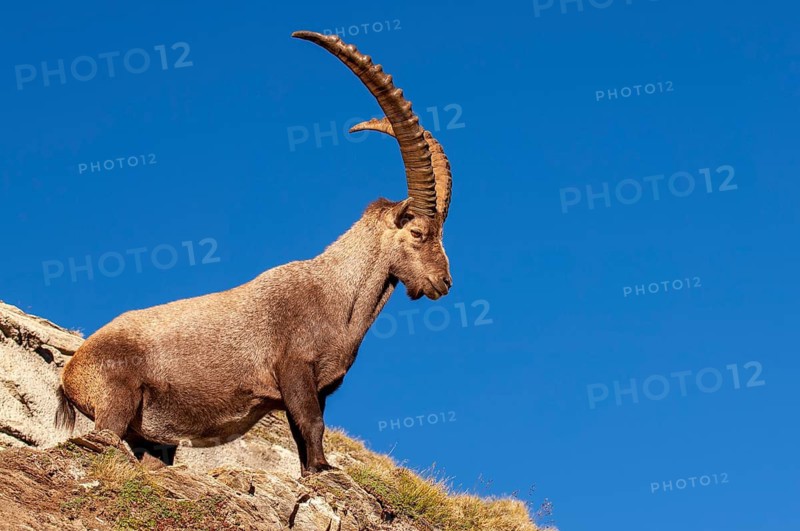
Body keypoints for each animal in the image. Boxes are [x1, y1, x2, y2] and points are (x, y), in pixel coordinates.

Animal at [55, 31, 454, 476]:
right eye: (418, 233)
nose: (443, 282)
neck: (336, 296)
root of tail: (70, 373)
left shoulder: (318, 387)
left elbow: (304, 435)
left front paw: (312, 470)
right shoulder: (294, 369)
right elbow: (311, 423)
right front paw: (324, 470)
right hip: (116, 397)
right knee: (106, 436)